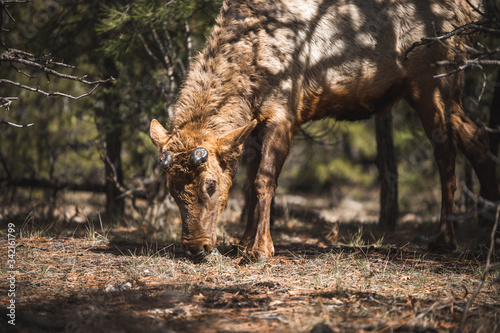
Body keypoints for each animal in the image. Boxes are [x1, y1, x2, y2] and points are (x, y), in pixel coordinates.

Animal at [149, 0, 500, 260]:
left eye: (210, 184)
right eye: (170, 188)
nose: (196, 247)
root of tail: (469, 13)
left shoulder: (284, 113)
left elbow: (264, 180)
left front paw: (260, 249)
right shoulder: (253, 125)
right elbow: (249, 182)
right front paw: (245, 243)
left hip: (432, 81)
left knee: (446, 152)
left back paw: (445, 240)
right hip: (445, 90)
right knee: (476, 134)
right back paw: (489, 229)